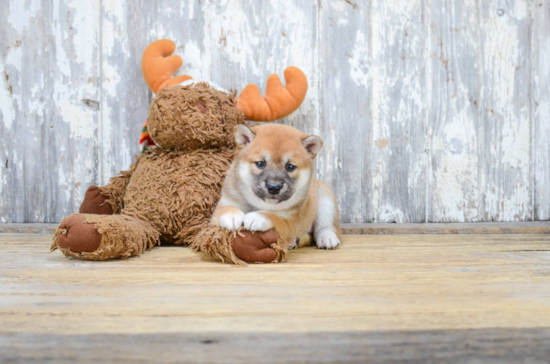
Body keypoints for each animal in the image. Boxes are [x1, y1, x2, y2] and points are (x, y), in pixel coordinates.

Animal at [211, 122, 340, 250]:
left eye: (290, 167)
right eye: (260, 163)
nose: (274, 187)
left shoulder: (289, 223)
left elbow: (274, 217)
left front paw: (258, 217)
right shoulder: (226, 203)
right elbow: (225, 209)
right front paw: (231, 216)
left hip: (326, 200)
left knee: (327, 228)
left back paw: (327, 238)